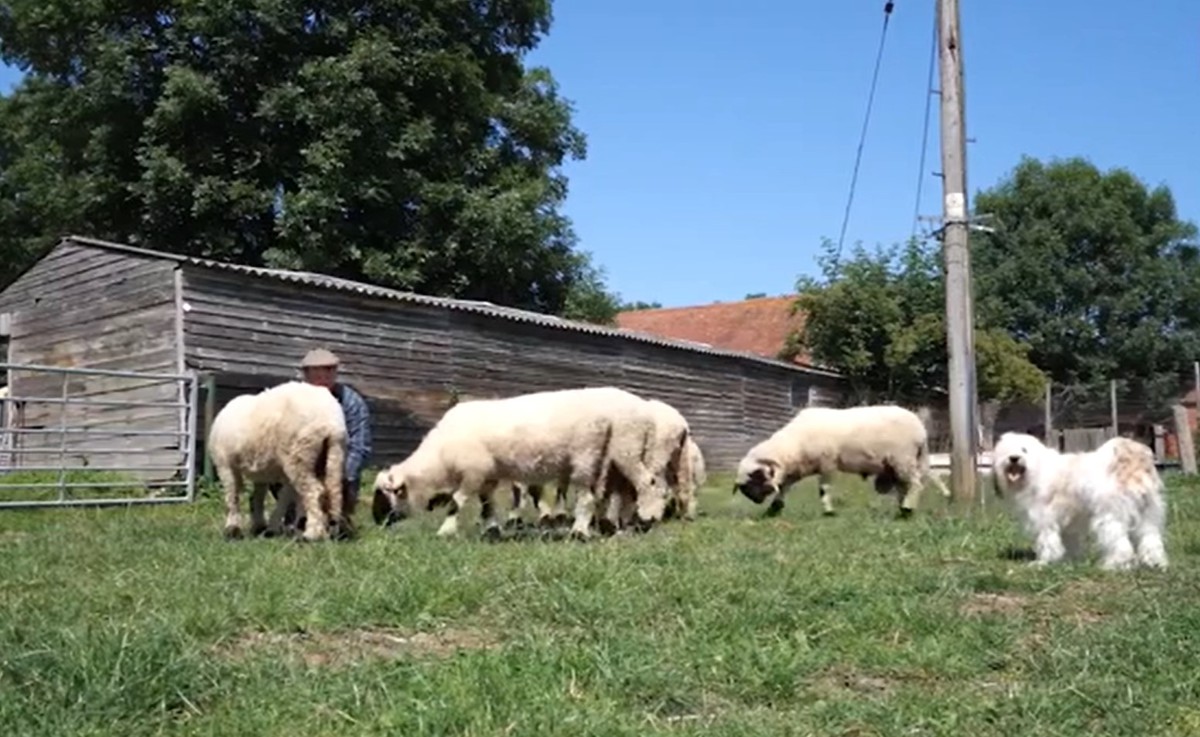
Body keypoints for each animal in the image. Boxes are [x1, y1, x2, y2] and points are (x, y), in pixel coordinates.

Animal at [208, 381, 350, 542]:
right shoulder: (263, 473)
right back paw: (329, 530)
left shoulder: (225, 463)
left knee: (313, 491)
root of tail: (328, 418)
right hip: (333, 452)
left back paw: (311, 533)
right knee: (333, 491)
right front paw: (261, 526)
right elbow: (261, 497)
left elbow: (233, 496)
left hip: (299, 453)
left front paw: (233, 529)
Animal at [369, 388, 667, 540]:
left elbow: (456, 502)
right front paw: (491, 530)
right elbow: (487, 504)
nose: (376, 522)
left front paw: (445, 531)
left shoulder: (473, 471)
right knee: (619, 492)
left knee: (624, 489)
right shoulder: (487, 475)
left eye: (385, 495)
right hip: (609, 458)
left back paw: (592, 529)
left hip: (595, 455)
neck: (440, 458)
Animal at [724, 403, 950, 520]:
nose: (755, 500)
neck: (793, 445)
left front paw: (829, 511)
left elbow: (824, 490)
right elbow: (785, 487)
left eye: (755, 477)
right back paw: (903, 511)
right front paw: (774, 509)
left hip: (902, 459)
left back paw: (907, 510)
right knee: (906, 487)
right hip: (898, 464)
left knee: (916, 484)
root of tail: (921, 428)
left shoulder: (827, 464)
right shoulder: (799, 470)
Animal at [993, 432, 1171, 571]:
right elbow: (1068, 542)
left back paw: (1112, 565)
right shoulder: (1067, 524)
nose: (1014, 458)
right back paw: (1155, 563)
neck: (1036, 469)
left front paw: (1042, 563)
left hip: (1110, 517)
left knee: (1120, 543)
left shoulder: (1044, 519)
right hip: (1148, 516)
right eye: (1007, 450)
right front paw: (1068, 560)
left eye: (1024, 450)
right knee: (1151, 539)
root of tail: (1132, 463)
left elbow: (1047, 542)